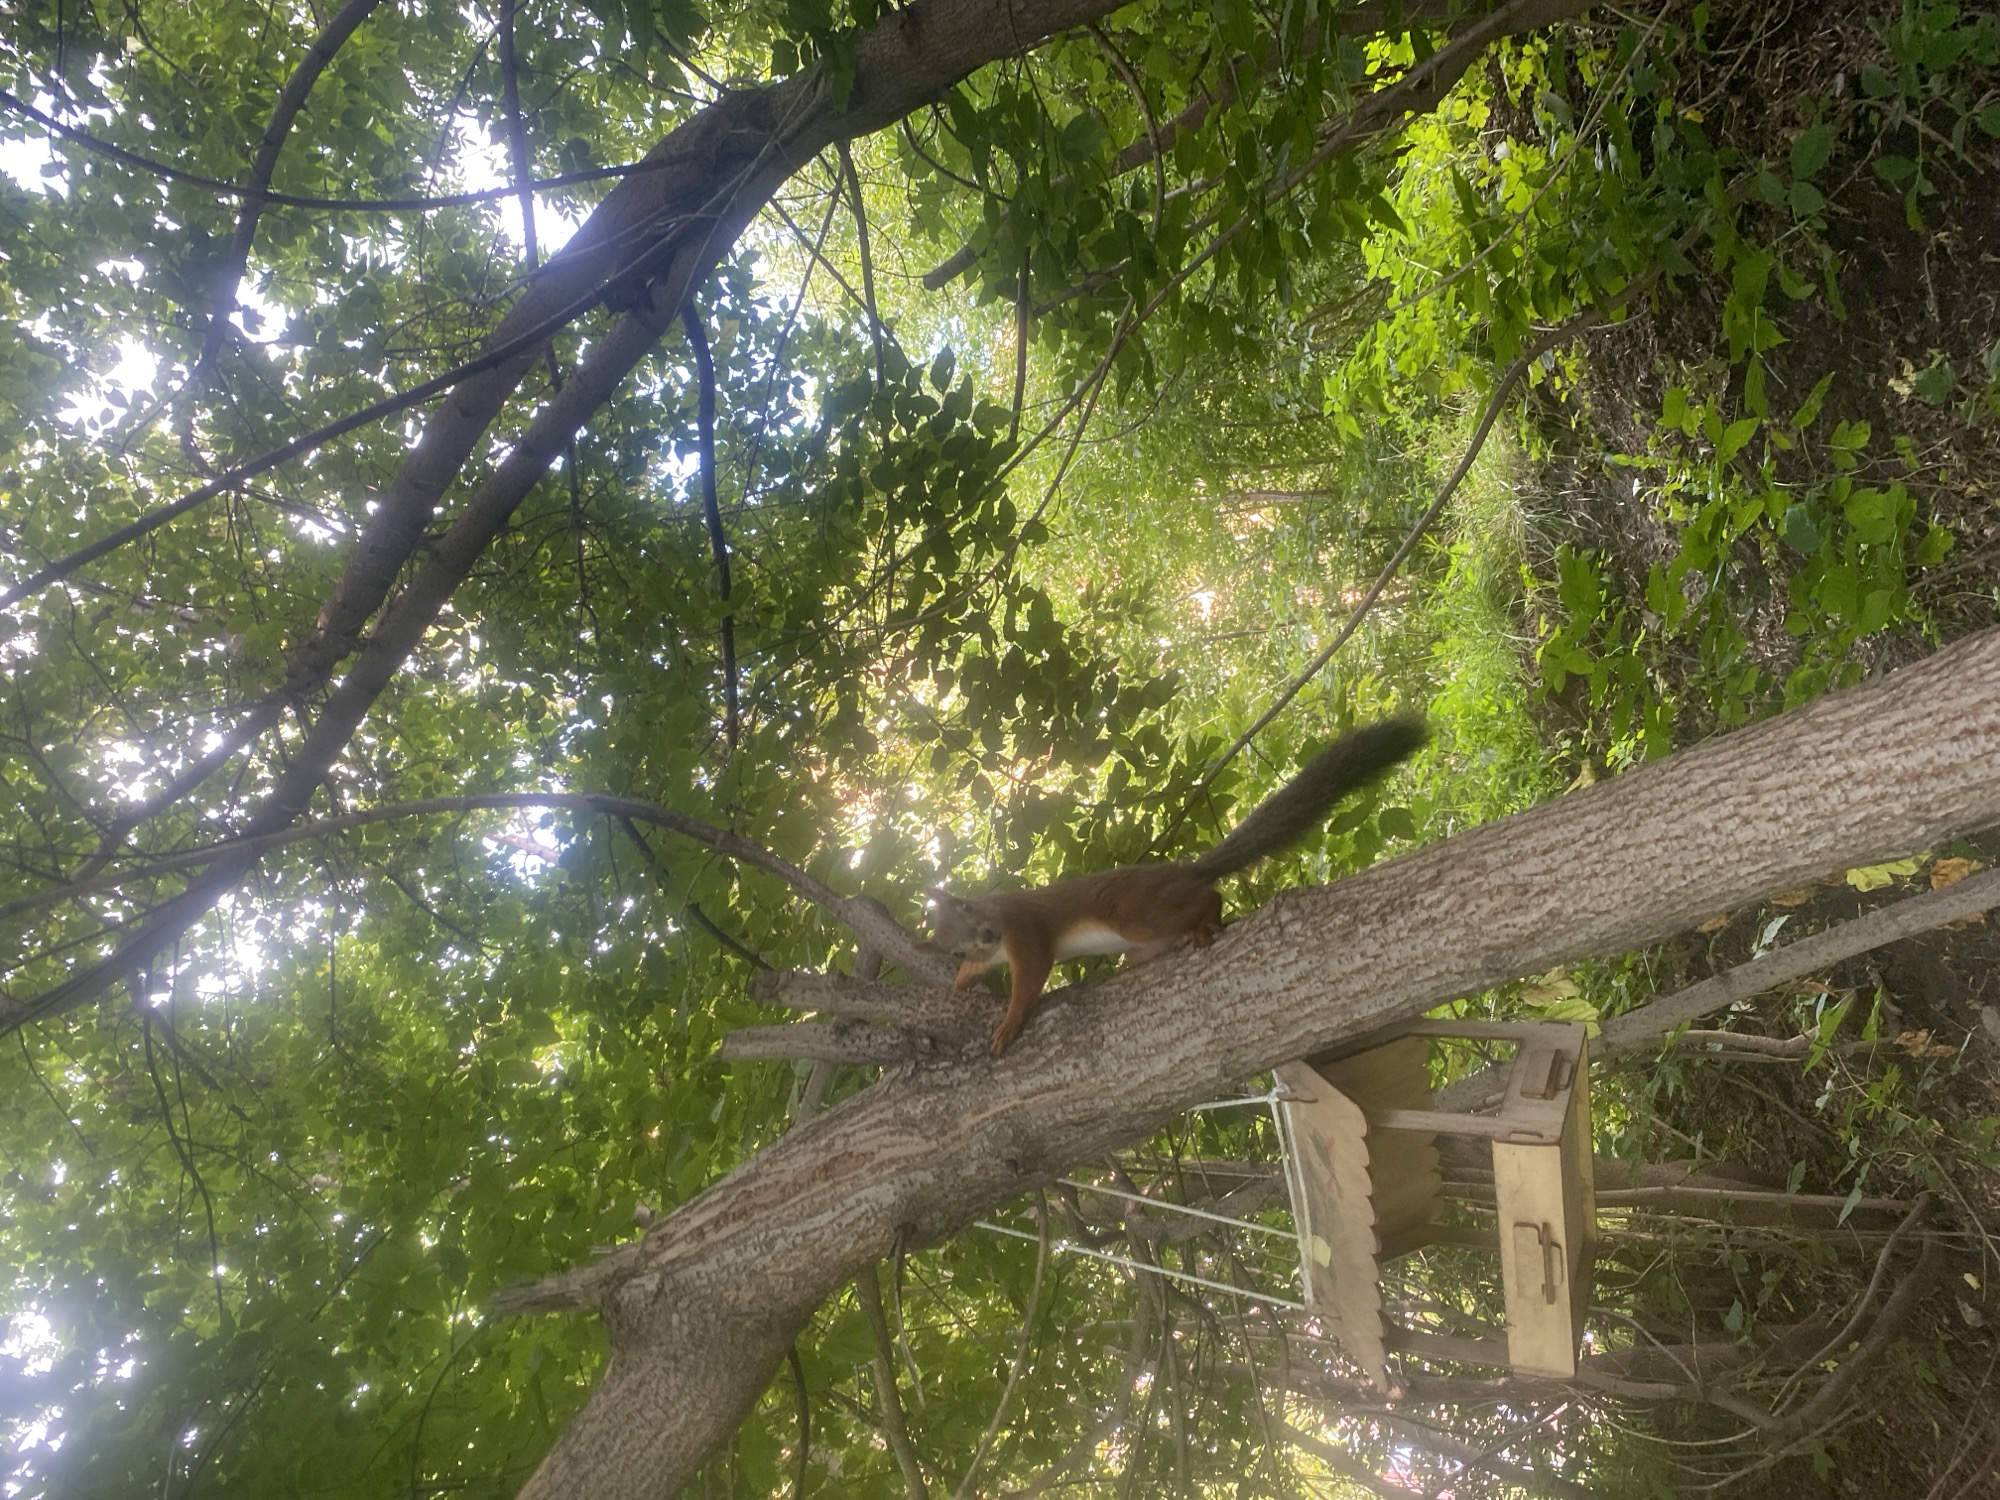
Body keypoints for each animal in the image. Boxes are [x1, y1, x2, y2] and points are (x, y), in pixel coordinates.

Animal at [923, 716, 1428, 1055]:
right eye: (955, 945)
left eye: (967, 907)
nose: (987, 935)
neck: (999, 930)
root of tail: (1186, 871)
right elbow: (972, 974)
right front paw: (957, 986)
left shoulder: (1024, 926)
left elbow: (1031, 976)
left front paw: (1008, 1025)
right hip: (1141, 940)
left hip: (1134, 910)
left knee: (1208, 897)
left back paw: (1205, 921)